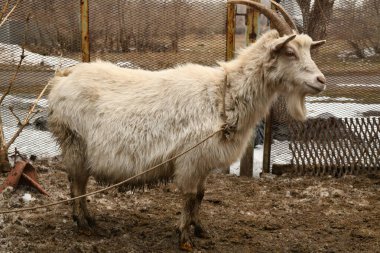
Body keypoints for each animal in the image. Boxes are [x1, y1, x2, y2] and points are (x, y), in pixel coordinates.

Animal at [47, 2, 326, 251]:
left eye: (309, 50)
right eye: (290, 52)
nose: (320, 80)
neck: (224, 96)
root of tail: (63, 79)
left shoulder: (203, 161)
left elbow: (201, 196)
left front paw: (200, 229)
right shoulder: (190, 159)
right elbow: (189, 196)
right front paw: (184, 238)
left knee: (80, 183)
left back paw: (90, 220)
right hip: (74, 142)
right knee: (76, 182)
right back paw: (82, 224)